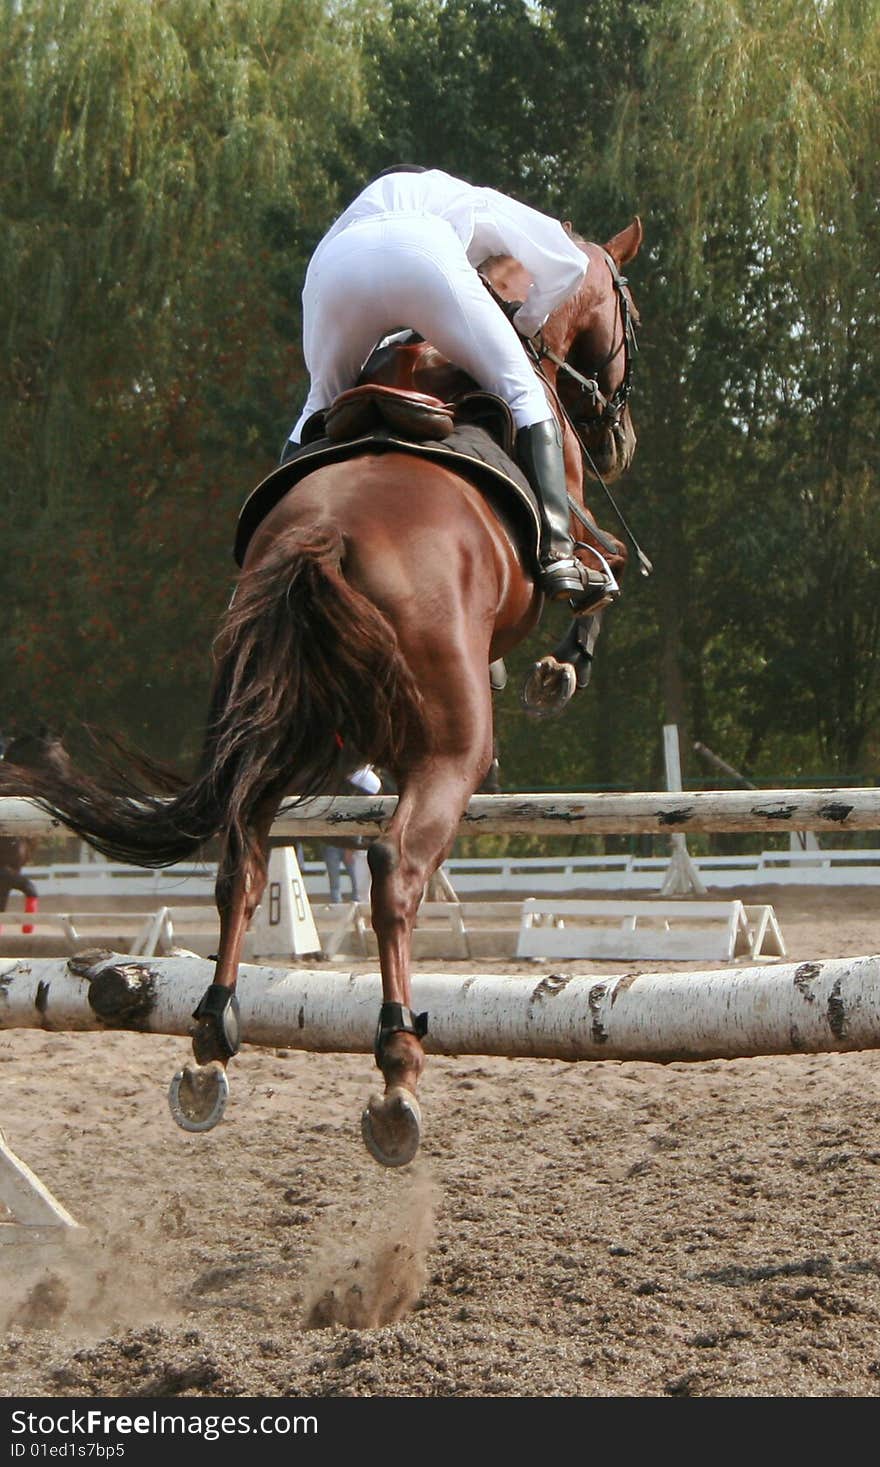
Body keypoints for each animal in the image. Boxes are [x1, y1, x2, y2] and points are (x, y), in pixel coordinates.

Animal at [0, 217, 645, 1161]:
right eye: (627, 317)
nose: (618, 437)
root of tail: (322, 536)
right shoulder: (577, 518)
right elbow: (606, 569)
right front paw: (560, 667)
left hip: (268, 730)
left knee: (241, 860)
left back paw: (212, 1039)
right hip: (451, 750)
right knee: (393, 868)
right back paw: (396, 1065)